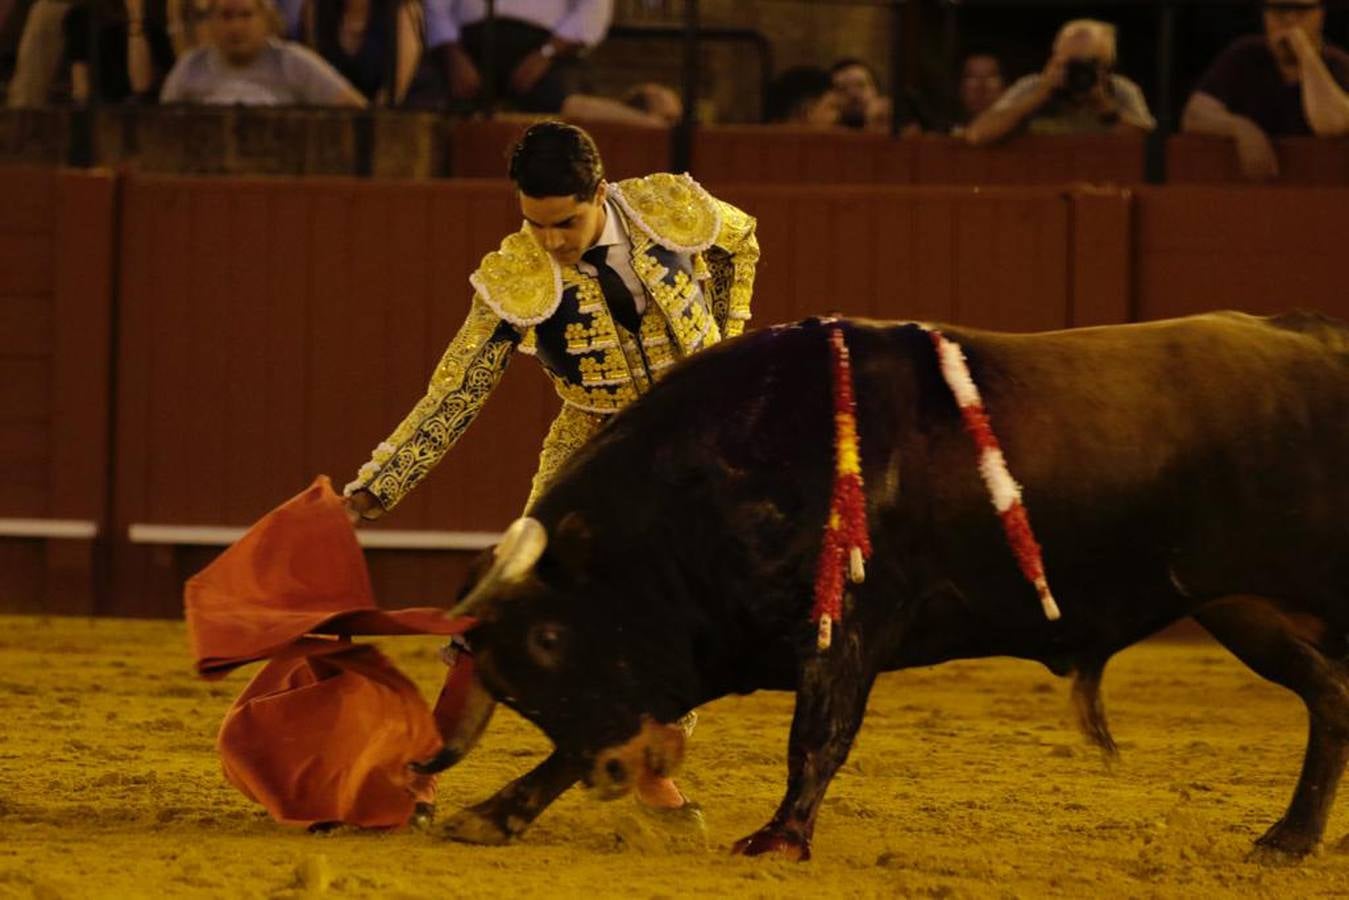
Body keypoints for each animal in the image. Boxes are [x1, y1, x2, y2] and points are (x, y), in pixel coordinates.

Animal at [426, 313, 1343, 863]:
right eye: (511, 683)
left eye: (551, 636)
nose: (621, 773)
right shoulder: (708, 644)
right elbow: (580, 737)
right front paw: (492, 815)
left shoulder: (843, 631)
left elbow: (816, 738)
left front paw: (779, 840)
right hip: (1239, 607)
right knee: (1329, 695)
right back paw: (1286, 840)